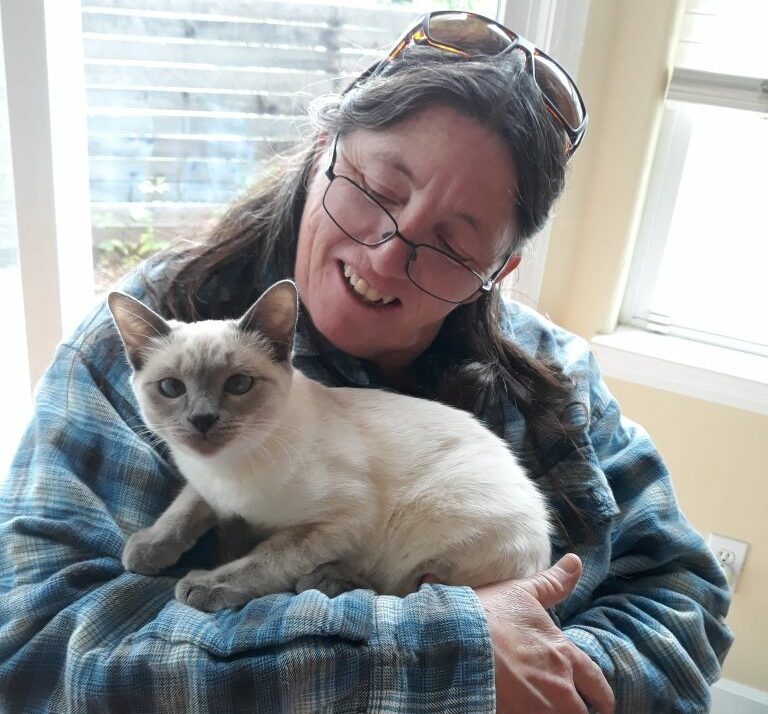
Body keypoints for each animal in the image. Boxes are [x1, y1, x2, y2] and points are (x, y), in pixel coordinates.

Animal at [109, 280, 552, 612]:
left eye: (239, 384)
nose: (202, 420)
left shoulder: (341, 519)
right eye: (171, 388)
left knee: (406, 586)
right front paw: (146, 549)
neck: (226, 472)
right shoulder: (203, 486)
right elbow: (184, 509)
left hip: (428, 515)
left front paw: (204, 585)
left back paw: (325, 579)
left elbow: (268, 557)